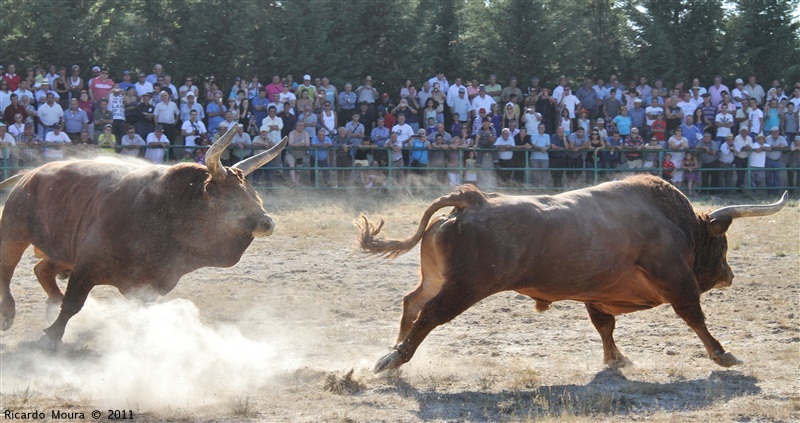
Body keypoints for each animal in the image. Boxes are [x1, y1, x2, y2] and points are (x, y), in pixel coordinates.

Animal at [0, 124, 288, 346]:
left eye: (254, 194)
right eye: (234, 200)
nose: (267, 223)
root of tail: (30, 174)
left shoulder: (148, 285)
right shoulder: (87, 266)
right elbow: (73, 303)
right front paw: (51, 337)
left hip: (62, 251)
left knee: (41, 269)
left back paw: (51, 301)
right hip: (14, 232)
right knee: (8, 268)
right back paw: (8, 312)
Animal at [360, 176, 792, 374]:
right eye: (723, 244)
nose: (729, 275)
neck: (674, 221)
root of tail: (472, 200)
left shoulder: (597, 294)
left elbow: (604, 326)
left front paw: (616, 359)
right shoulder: (675, 278)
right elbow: (693, 316)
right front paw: (723, 354)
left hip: (438, 278)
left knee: (412, 303)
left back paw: (392, 349)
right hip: (464, 287)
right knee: (430, 314)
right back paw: (393, 359)